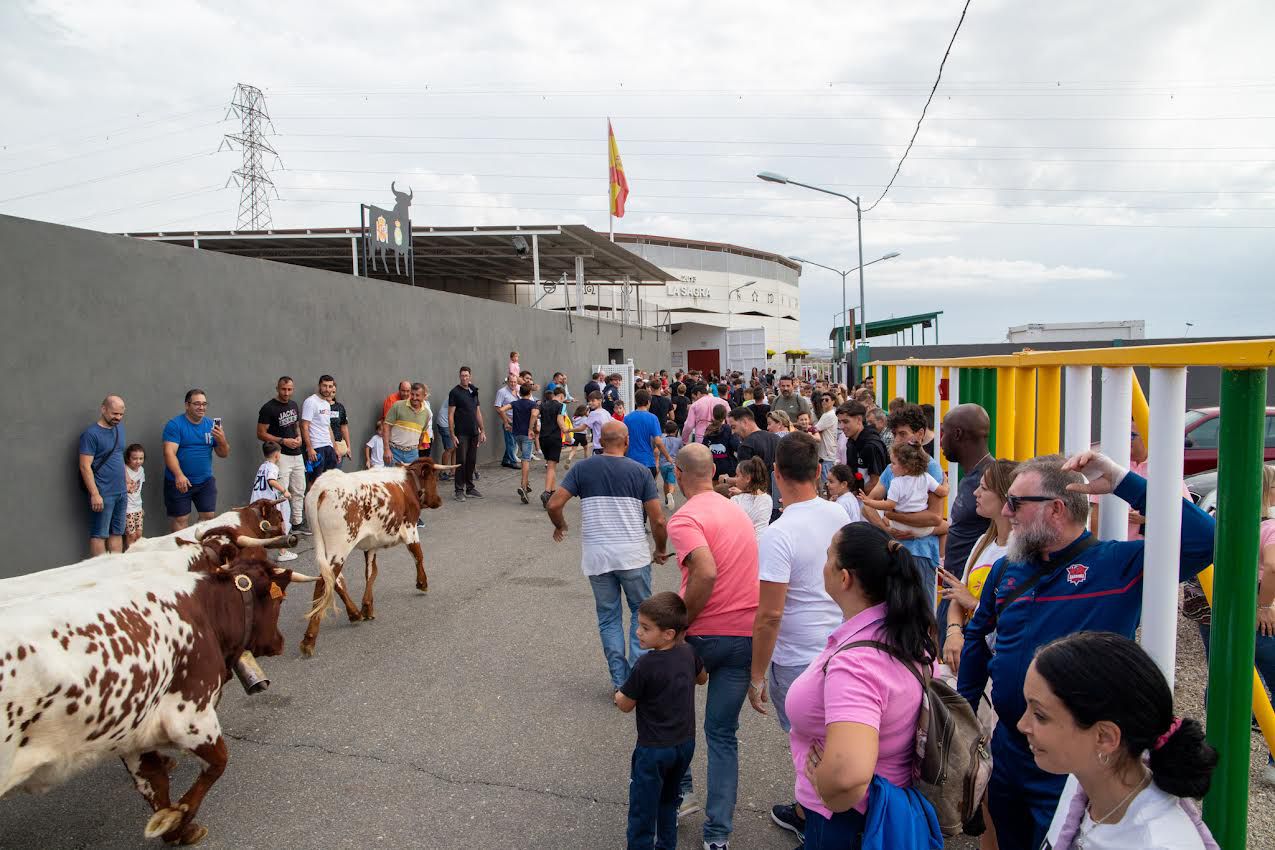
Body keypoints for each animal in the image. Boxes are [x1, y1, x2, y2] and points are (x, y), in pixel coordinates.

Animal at [299, 458, 453, 657]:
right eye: (434, 477)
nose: (439, 501)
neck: (408, 484)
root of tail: (322, 487)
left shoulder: (371, 544)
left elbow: (371, 573)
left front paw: (367, 607)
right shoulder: (410, 528)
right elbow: (418, 555)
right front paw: (422, 583)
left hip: (327, 549)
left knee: (334, 580)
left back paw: (354, 613)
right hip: (340, 546)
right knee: (324, 583)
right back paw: (309, 640)